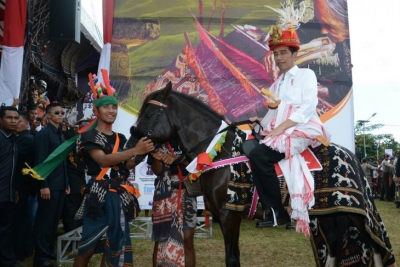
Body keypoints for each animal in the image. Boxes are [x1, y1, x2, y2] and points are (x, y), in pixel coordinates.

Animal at [126, 82, 396, 266]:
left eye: (148, 114)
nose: (131, 149)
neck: (217, 150)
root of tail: (352, 156)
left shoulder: (230, 215)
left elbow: (232, 259)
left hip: (357, 214)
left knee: (375, 247)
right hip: (329, 212)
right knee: (334, 245)